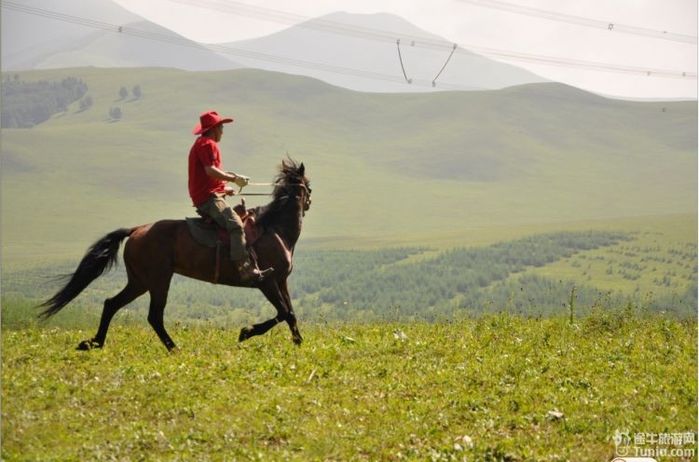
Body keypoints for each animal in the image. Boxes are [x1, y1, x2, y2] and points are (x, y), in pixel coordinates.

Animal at [39, 159, 312, 350]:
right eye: (308, 185)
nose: (309, 202)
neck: (275, 229)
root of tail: (137, 229)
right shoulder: (266, 281)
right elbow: (283, 313)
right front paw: (246, 332)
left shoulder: (281, 281)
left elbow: (291, 314)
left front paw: (298, 343)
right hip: (159, 280)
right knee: (154, 316)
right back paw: (174, 348)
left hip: (140, 281)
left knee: (111, 304)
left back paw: (94, 343)